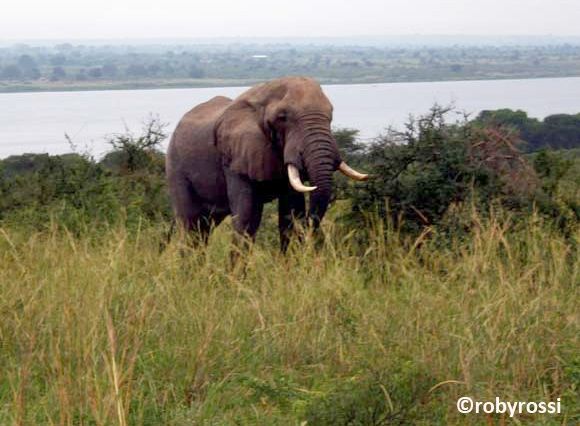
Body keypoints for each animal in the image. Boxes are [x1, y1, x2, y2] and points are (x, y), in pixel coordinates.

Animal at [165, 76, 370, 250]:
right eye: (282, 118)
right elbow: (247, 217)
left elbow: (291, 214)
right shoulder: (234, 158)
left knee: (204, 228)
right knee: (191, 225)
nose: (312, 231)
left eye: (331, 115)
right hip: (176, 168)